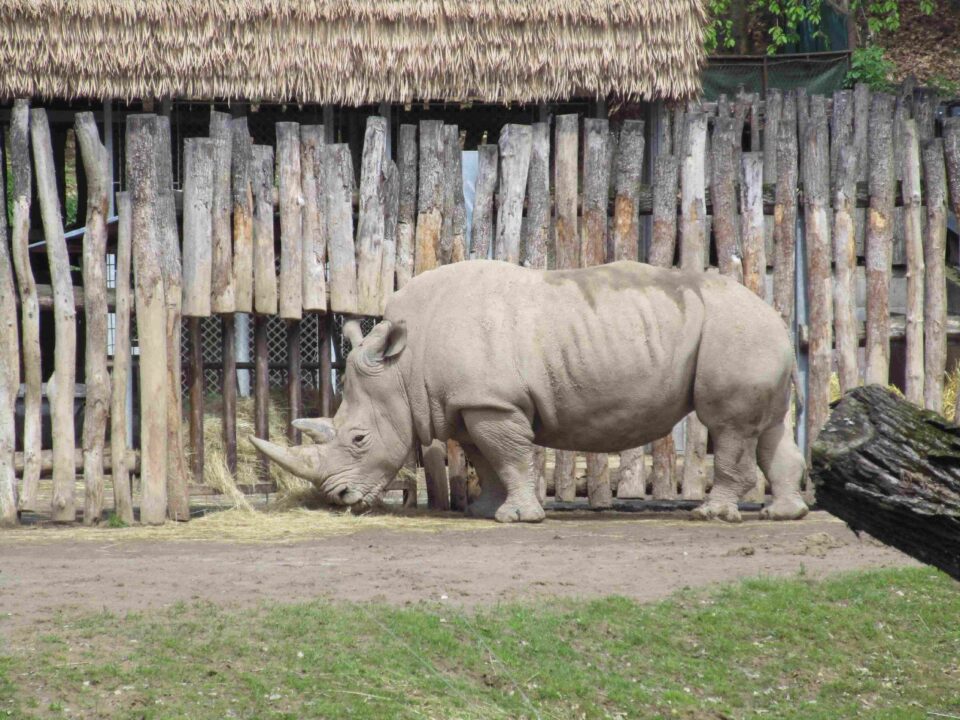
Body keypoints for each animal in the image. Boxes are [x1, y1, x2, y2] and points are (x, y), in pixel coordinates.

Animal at [251, 260, 809, 523]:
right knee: (771, 427)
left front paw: (516, 517)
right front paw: (484, 511)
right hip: (752, 335)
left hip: (734, 332)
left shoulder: (493, 403)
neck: (404, 366)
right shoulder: (471, 403)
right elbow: (485, 458)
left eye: (359, 440)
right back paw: (784, 514)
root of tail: (776, 314)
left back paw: (712, 515)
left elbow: (511, 456)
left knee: (730, 426)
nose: (339, 498)